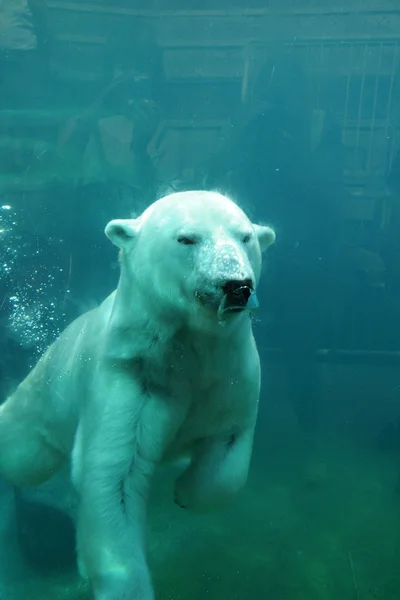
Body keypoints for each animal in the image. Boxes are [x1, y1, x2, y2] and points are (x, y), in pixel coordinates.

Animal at [0, 191, 276, 600]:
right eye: (186, 239)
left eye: (246, 237)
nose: (235, 285)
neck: (185, 348)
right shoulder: (131, 374)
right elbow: (115, 477)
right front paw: (126, 586)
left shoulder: (230, 373)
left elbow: (228, 448)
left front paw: (186, 492)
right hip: (45, 395)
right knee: (23, 456)